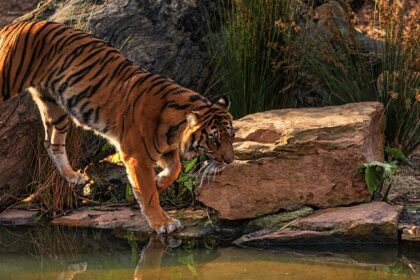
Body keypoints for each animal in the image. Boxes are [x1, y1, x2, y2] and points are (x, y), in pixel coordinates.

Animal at [0, 20, 235, 234]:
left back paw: (73, 176)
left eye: (231, 136)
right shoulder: (136, 155)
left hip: (54, 107)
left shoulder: (165, 150)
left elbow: (175, 170)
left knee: (52, 143)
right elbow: (148, 193)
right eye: (214, 139)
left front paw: (159, 182)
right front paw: (162, 222)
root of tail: (15, 23)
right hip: (8, 82)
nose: (230, 161)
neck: (175, 131)